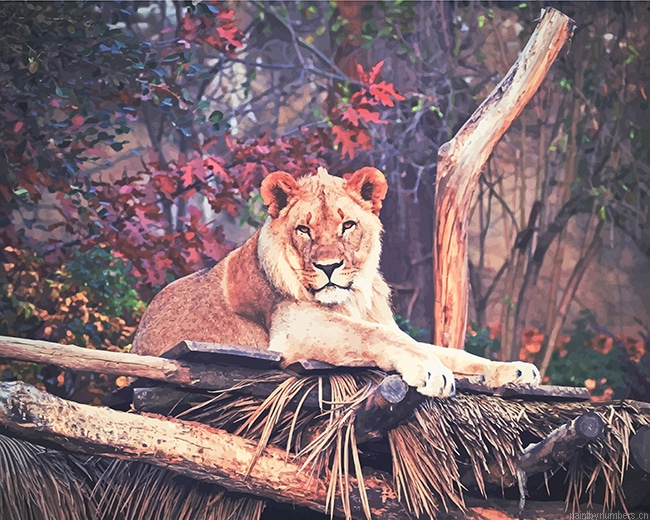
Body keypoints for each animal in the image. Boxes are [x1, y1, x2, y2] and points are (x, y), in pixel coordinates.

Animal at [132, 166, 540, 396]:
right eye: (304, 229)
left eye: (347, 225)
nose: (328, 266)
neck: (353, 298)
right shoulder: (294, 328)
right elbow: (378, 336)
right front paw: (430, 370)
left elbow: (450, 352)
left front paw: (514, 369)